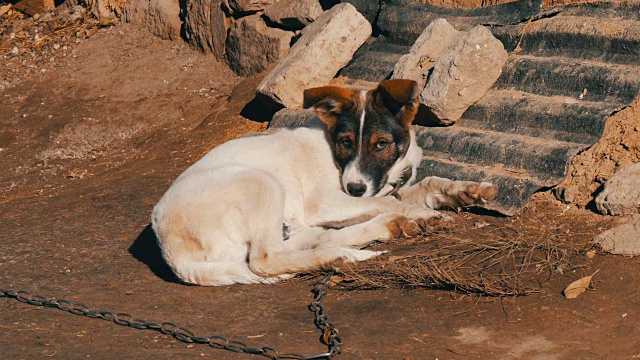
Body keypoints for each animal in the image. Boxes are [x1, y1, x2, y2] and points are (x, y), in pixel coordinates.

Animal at [152, 79, 498, 286]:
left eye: (381, 144)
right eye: (346, 142)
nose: (354, 188)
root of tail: (170, 249)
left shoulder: (378, 187)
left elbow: (424, 185)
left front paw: (466, 191)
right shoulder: (328, 201)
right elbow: (385, 199)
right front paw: (424, 213)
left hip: (282, 220)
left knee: (313, 239)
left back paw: (376, 233)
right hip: (260, 182)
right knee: (265, 259)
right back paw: (338, 254)